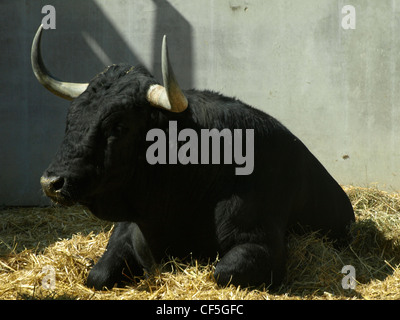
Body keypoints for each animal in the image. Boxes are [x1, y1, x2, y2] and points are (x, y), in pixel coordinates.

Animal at [30, 25, 354, 290]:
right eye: (71, 119)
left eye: (118, 126)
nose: (51, 183)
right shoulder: (125, 229)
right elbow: (97, 274)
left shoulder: (262, 244)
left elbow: (221, 273)